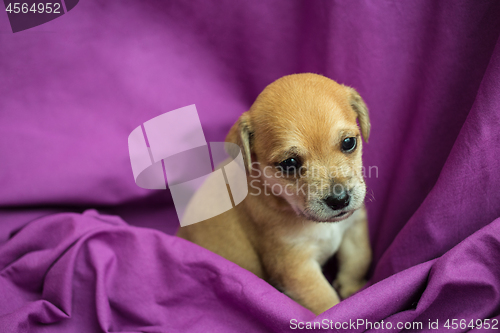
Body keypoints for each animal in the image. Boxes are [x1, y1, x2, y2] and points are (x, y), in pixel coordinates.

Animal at [179, 72, 372, 314]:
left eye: (349, 142)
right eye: (289, 163)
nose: (339, 200)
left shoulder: (354, 228)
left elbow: (358, 260)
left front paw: (353, 290)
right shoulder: (295, 265)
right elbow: (324, 300)